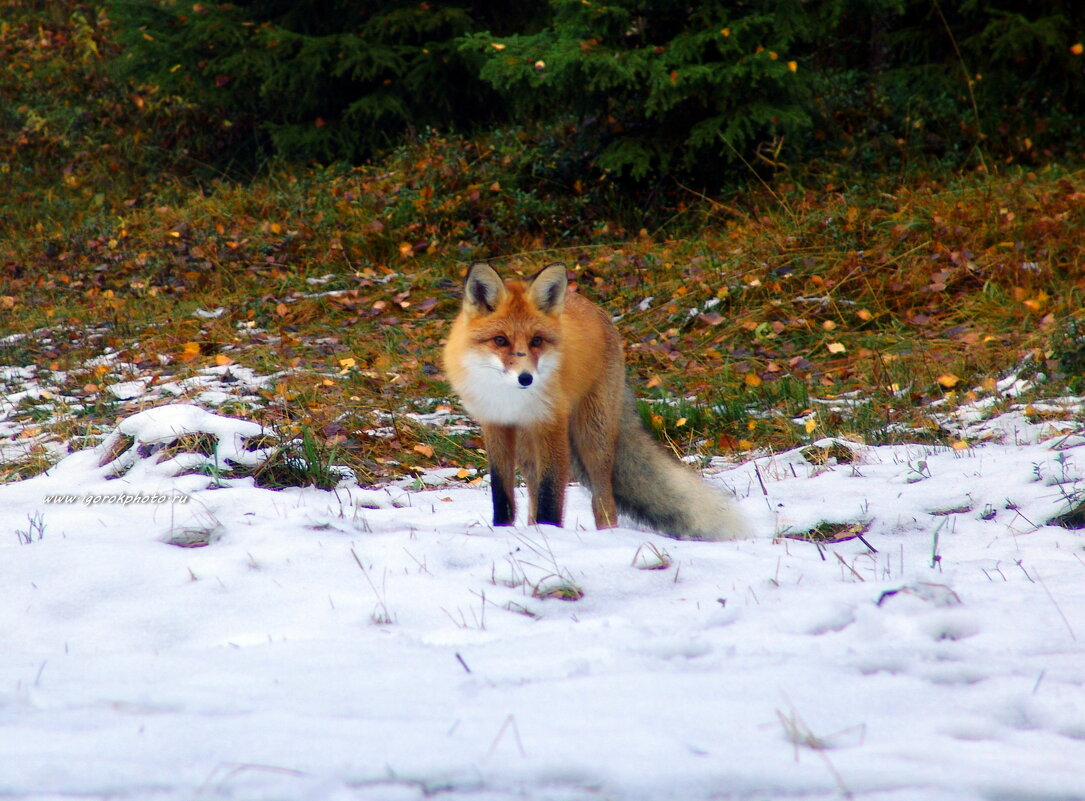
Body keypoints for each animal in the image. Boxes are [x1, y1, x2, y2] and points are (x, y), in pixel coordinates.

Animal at [440, 259, 746, 540]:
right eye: (500, 340)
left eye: (537, 340)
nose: (526, 378)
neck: (509, 398)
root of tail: (595, 308)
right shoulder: (494, 424)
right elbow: (502, 494)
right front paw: (503, 531)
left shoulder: (552, 424)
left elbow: (551, 494)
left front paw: (550, 533)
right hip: (529, 447)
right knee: (533, 493)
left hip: (592, 437)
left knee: (603, 500)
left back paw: (606, 537)